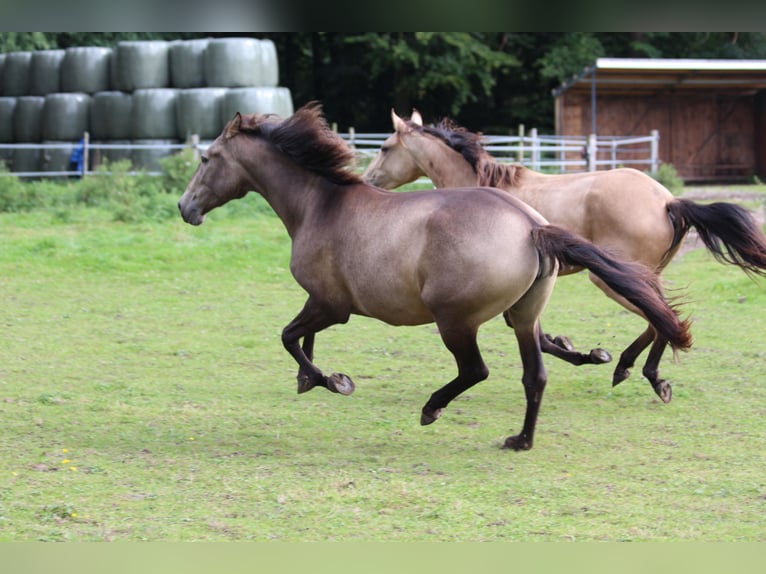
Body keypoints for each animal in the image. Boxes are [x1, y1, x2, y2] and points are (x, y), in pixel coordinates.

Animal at [177, 104, 692, 454]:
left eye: (206, 159)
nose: (185, 208)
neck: (320, 205)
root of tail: (532, 227)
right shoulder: (324, 304)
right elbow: (301, 339)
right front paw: (312, 379)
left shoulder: (330, 305)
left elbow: (288, 336)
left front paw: (332, 381)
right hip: (523, 316)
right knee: (536, 375)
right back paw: (521, 439)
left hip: (456, 321)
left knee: (477, 370)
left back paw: (432, 408)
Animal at [364, 110, 766, 402]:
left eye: (384, 147)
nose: (367, 180)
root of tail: (668, 201)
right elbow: (538, 335)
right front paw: (585, 352)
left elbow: (537, 338)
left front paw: (588, 354)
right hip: (642, 275)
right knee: (663, 317)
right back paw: (633, 370)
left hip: (610, 279)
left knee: (661, 318)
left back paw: (645, 375)